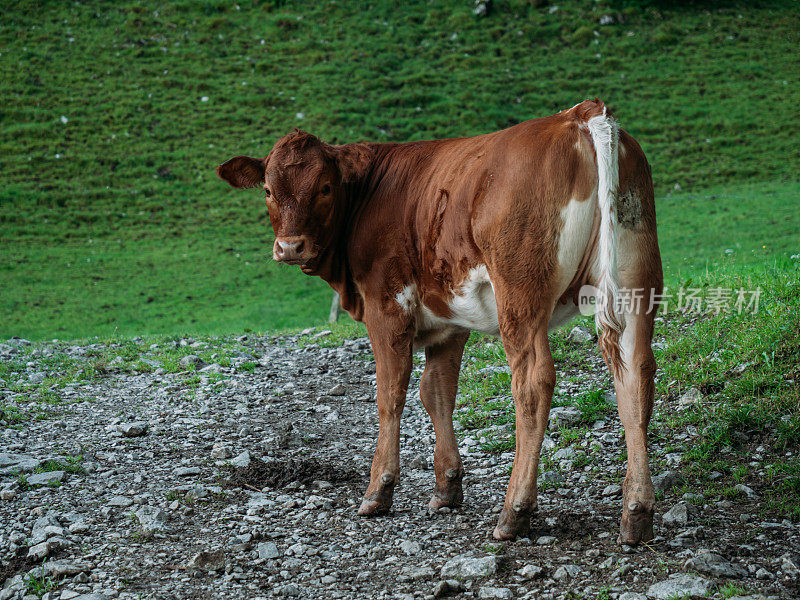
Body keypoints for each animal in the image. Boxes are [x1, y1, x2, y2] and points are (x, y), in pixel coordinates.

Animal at [217, 99, 664, 544]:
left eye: (325, 187)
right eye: (268, 190)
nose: (290, 246)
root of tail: (580, 114)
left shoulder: (387, 305)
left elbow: (390, 394)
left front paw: (379, 490)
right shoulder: (448, 321)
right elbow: (436, 392)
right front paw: (447, 486)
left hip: (521, 296)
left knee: (533, 383)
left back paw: (515, 510)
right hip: (636, 282)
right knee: (635, 375)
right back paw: (637, 512)